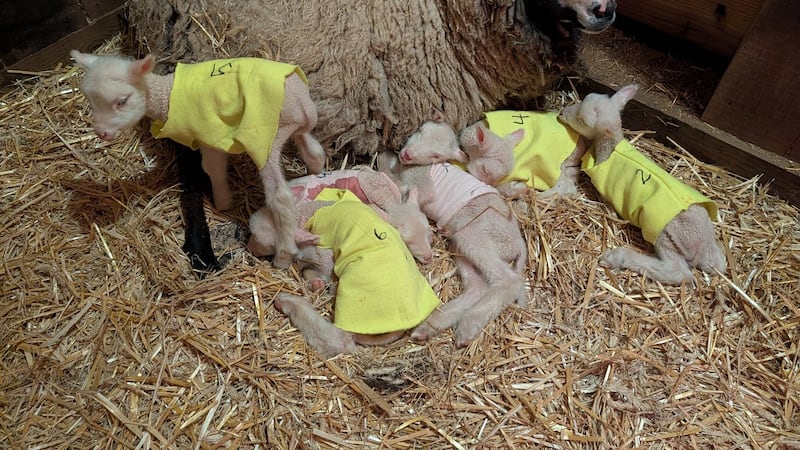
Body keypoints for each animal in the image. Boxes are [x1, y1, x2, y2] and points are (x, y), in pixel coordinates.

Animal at [69, 50, 327, 269]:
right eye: (90, 101)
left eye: (122, 101)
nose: (101, 133)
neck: (166, 94)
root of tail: (301, 101)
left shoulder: (208, 134)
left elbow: (213, 168)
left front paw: (223, 202)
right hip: (294, 127)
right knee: (313, 151)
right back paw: (317, 174)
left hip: (265, 138)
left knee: (280, 197)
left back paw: (284, 254)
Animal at [252, 189, 440, 357]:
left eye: (429, 234)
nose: (250, 247)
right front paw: (315, 283)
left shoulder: (324, 253)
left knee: (340, 339)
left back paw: (286, 301)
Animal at [379, 135, 528, 347]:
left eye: (435, 155)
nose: (403, 153)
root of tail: (519, 245)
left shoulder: (415, 182)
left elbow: (397, 184)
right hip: (460, 245)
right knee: (477, 287)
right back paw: (430, 326)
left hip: (475, 237)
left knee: (509, 281)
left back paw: (468, 326)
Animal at [556, 84, 727, 284]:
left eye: (580, 119)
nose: (561, 112)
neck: (610, 148)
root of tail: (702, 248)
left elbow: (609, 207)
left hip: (666, 237)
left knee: (678, 272)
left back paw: (617, 257)